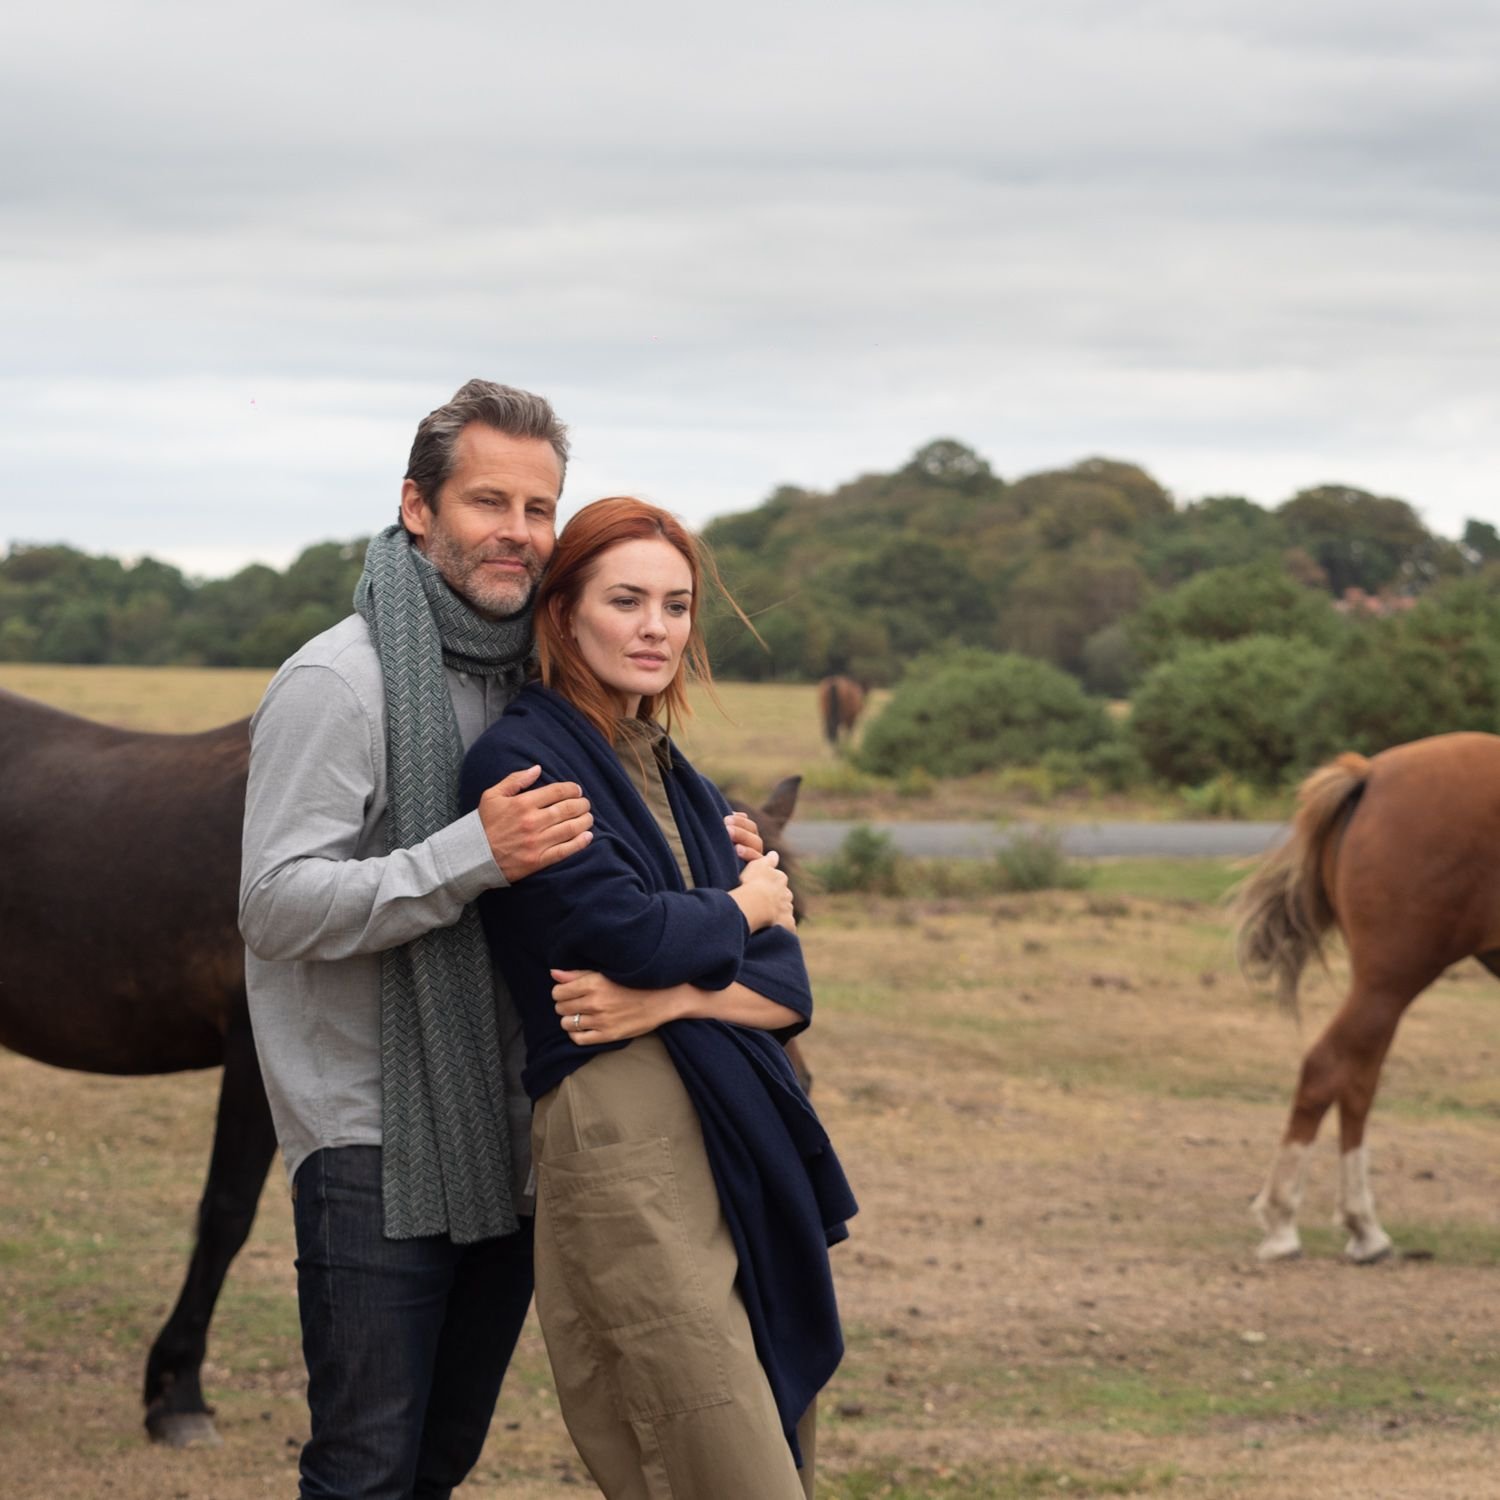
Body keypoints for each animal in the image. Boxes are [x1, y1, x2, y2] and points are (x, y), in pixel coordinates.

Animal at [1236, 732, 1500, 1260]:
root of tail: (1371, 775)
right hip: (1389, 983)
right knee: (1327, 1069)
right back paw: (1284, 1221)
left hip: (1380, 991)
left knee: (1355, 1079)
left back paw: (1363, 1229)